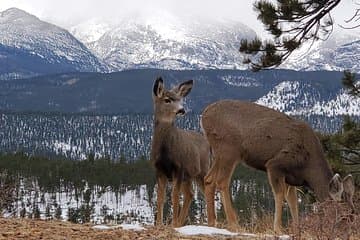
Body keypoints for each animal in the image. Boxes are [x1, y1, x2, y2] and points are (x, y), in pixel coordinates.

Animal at [150, 77, 211, 227]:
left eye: (180, 99)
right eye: (167, 99)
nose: (182, 110)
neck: (165, 152)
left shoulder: (178, 167)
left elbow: (175, 196)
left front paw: (172, 224)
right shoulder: (159, 169)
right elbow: (160, 197)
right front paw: (159, 224)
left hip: (202, 170)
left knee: (207, 189)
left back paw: (212, 223)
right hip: (188, 176)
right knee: (190, 194)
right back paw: (180, 223)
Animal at [201, 100, 356, 232]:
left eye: (353, 214)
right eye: (343, 215)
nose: (348, 232)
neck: (308, 167)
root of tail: (204, 116)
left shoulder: (291, 177)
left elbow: (292, 200)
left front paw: (297, 229)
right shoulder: (275, 165)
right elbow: (279, 194)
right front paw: (278, 229)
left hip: (218, 153)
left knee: (208, 179)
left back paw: (212, 222)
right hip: (229, 148)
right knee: (222, 181)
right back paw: (234, 224)